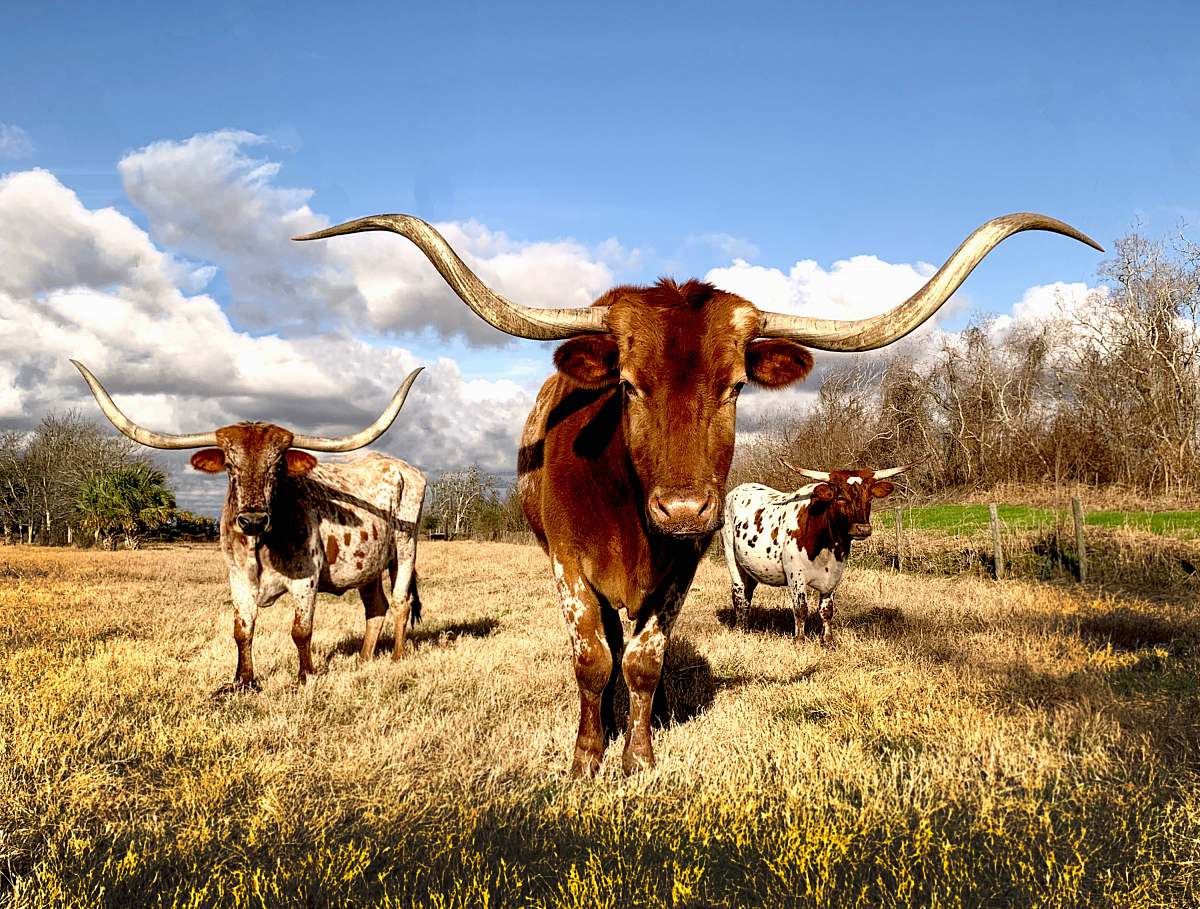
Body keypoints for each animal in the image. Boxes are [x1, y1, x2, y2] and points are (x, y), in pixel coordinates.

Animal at [71, 362, 427, 690]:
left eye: (278, 465)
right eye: (230, 465)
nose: (252, 520)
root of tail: (403, 467)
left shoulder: (307, 579)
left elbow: (301, 631)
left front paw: (306, 676)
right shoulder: (238, 578)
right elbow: (242, 630)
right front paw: (243, 681)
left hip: (406, 547)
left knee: (401, 601)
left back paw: (397, 657)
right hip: (369, 566)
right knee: (376, 607)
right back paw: (365, 659)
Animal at [720, 465, 907, 642]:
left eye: (869, 498)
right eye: (840, 497)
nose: (862, 529)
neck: (827, 545)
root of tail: (738, 489)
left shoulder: (834, 575)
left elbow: (827, 610)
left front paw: (828, 640)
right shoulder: (796, 575)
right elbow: (801, 608)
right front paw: (800, 640)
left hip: (750, 568)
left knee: (747, 594)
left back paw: (745, 627)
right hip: (732, 557)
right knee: (739, 595)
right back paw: (740, 629)